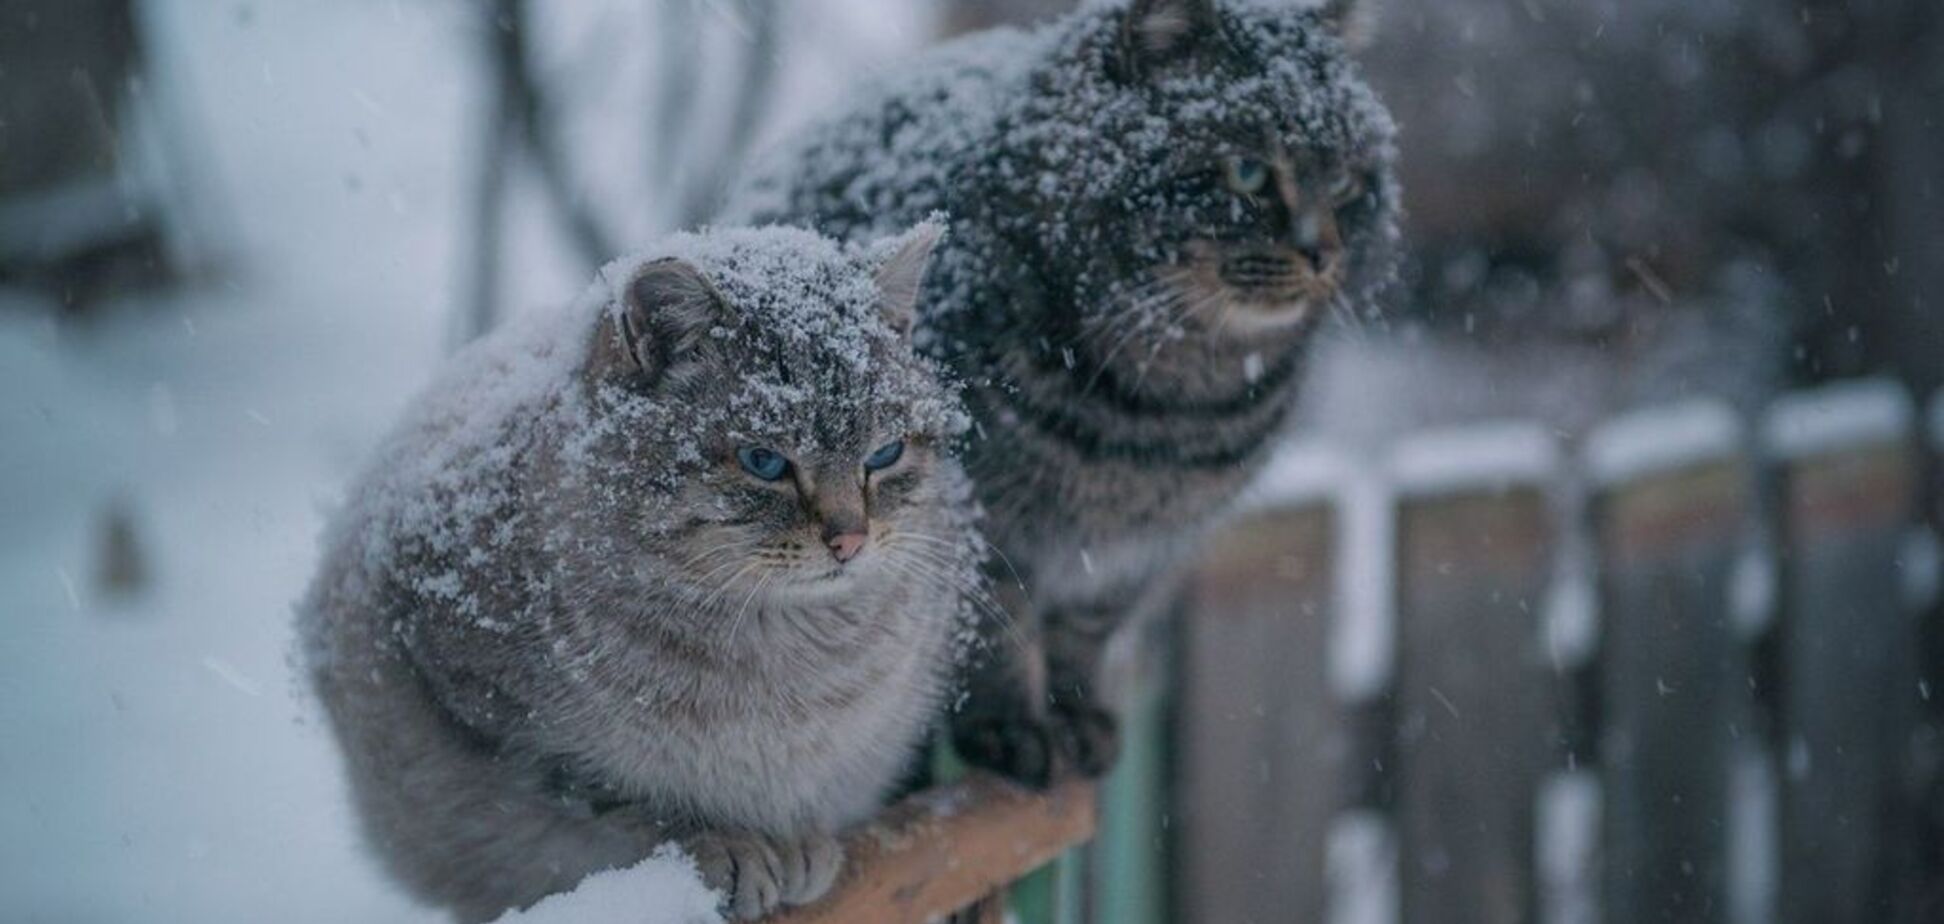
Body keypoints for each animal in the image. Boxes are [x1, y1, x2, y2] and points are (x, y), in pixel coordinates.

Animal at [299, 224, 987, 924]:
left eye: (884, 454)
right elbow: (624, 802)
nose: (850, 540)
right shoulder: (498, 719)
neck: (781, 648)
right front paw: (729, 843)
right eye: (764, 462)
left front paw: (795, 843)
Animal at [723, 0, 1407, 785]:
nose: (1324, 253)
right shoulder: (985, 519)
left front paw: (1078, 719)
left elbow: (1085, 634)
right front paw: (1015, 730)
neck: (1170, 413)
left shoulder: (1138, 552)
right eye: (1250, 172)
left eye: (1349, 184)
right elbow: (997, 629)